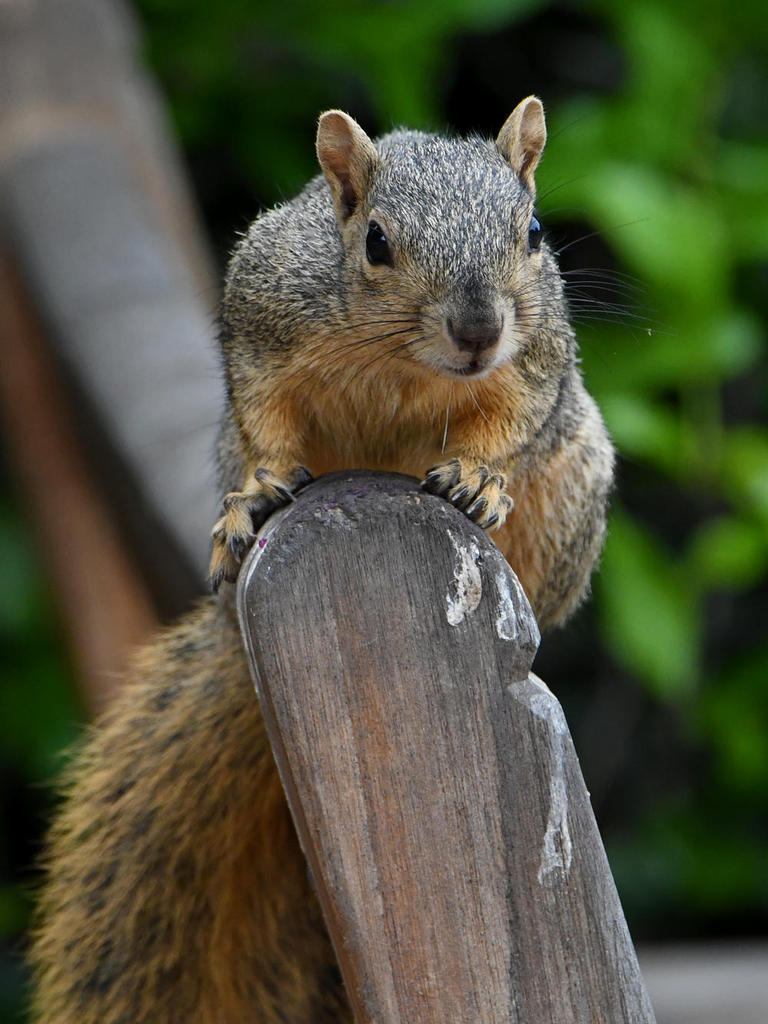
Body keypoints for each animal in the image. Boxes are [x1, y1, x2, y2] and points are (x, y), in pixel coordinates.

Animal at [30, 97, 614, 1023]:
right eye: (375, 242)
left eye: (532, 232)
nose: (478, 331)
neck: (400, 361)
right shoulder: (266, 316)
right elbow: (265, 412)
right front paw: (258, 493)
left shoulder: (534, 359)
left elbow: (512, 417)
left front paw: (479, 478)